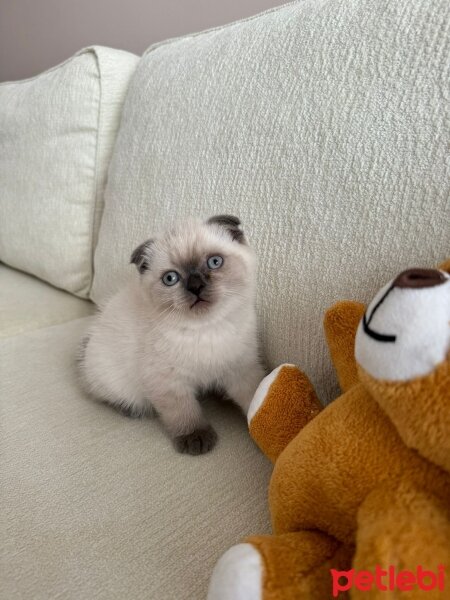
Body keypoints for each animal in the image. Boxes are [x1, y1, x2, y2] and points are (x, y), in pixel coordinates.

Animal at [78, 216, 266, 454]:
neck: (207, 329)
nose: (195, 286)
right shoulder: (168, 382)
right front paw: (196, 439)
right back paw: (130, 410)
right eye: (170, 278)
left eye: (214, 262)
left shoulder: (241, 369)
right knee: (107, 395)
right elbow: (183, 412)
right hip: (112, 377)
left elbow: (256, 396)